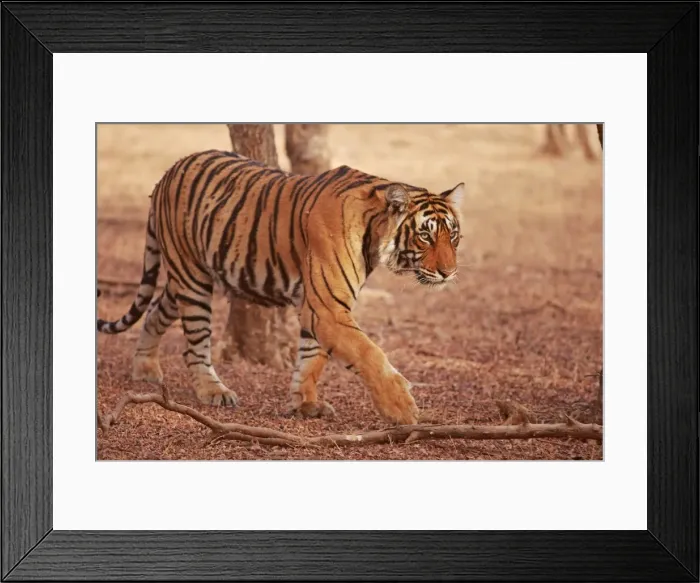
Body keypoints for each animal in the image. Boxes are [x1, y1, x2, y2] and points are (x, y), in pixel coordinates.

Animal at [97, 149, 464, 425]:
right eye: (425, 235)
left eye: (454, 235)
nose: (449, 273)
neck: (374, 232)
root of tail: (168, 171)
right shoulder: (326, 307)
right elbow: (367, 352)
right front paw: (402, 408)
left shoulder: (316, 304)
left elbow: (312, 357)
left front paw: (305, 404)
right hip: (192, 277)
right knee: (195, 345)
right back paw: (214, 391)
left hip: (182, 278)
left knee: (154, 312)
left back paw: (144, 369)